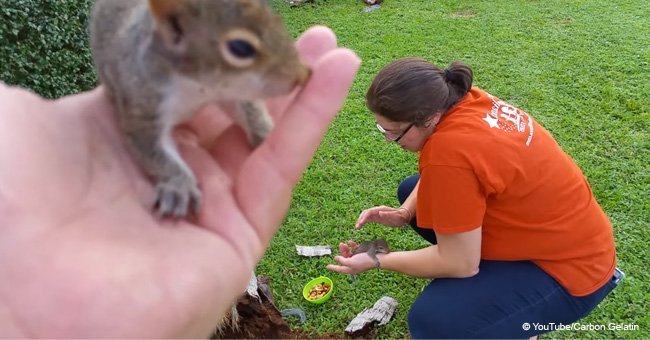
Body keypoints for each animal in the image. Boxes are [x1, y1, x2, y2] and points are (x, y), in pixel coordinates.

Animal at [90, 0, 310, 218]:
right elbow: (156, 153)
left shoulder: (227, 92)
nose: (302, 75)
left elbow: (247, 111)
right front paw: (179, 187)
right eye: (240, 47)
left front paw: (265, 133)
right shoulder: (142, 105)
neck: (196, 87)